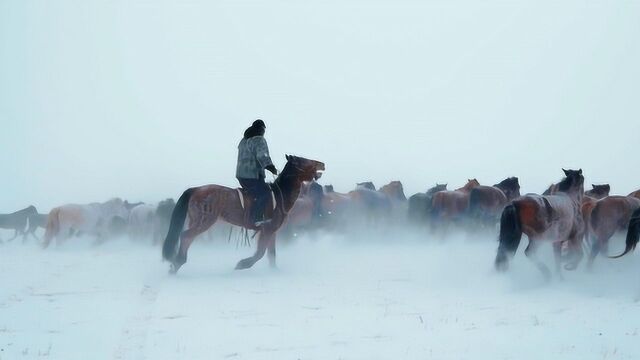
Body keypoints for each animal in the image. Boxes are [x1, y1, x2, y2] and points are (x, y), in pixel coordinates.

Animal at [162, 155, 324, 272]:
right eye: (304, 161)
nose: (322, 164)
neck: (279, 196)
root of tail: (196, 189)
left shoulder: (272, 232)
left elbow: (271, 254)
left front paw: (274, 271)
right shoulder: (266, 230)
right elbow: (260, 253)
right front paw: (243, 264)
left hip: (195, 220)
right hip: (204, 221)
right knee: (186, 236)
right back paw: (177, 262)